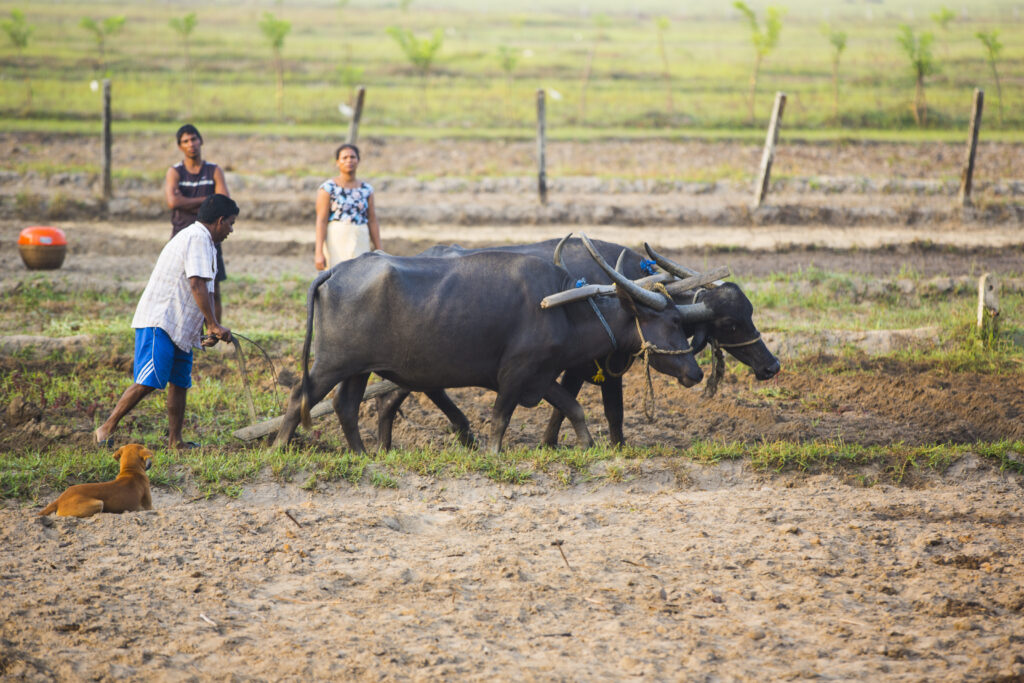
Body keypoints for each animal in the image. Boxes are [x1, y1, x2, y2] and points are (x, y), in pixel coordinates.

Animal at [270, 240, 712, 454]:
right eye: (675, 321)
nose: (696, 372)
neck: (563, 309)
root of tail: (335, 271)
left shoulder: (541, 375)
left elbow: (573, 408)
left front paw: (586, 447)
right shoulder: (515, 375)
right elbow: (500, 419)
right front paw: (493, 453)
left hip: (358, 369)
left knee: (347, 406)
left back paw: (365, 454)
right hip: (330, 364)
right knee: (299, 396)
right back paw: (278, 449)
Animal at [376, 235, 774, 448]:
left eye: (750, 312)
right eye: (730, 323)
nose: (772, 366)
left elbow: (568, 405)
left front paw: (553, 444)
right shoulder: (593, 366)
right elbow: (607, 410)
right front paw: (611, 446)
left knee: (400, 394)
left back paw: (390, 443)